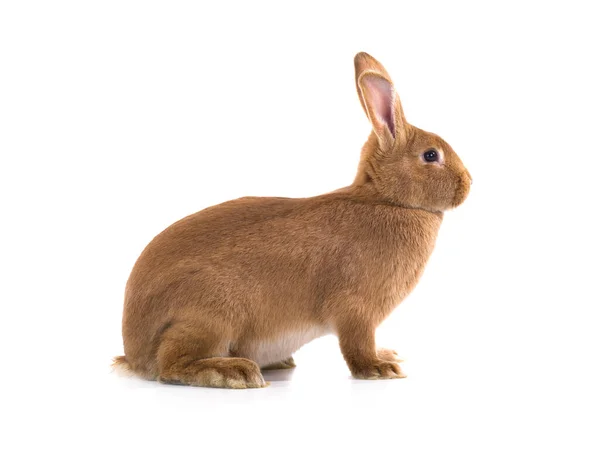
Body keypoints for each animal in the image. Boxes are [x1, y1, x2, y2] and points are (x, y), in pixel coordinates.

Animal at [111, 52, 468, 388]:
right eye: (431, 155)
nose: (467, 184)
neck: (386, 199)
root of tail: (134, 353)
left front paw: (388, 355)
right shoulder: (356, 310)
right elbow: (356, 346)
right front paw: (380, 368)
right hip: (211, 314)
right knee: (172, 365)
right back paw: (235, 372)